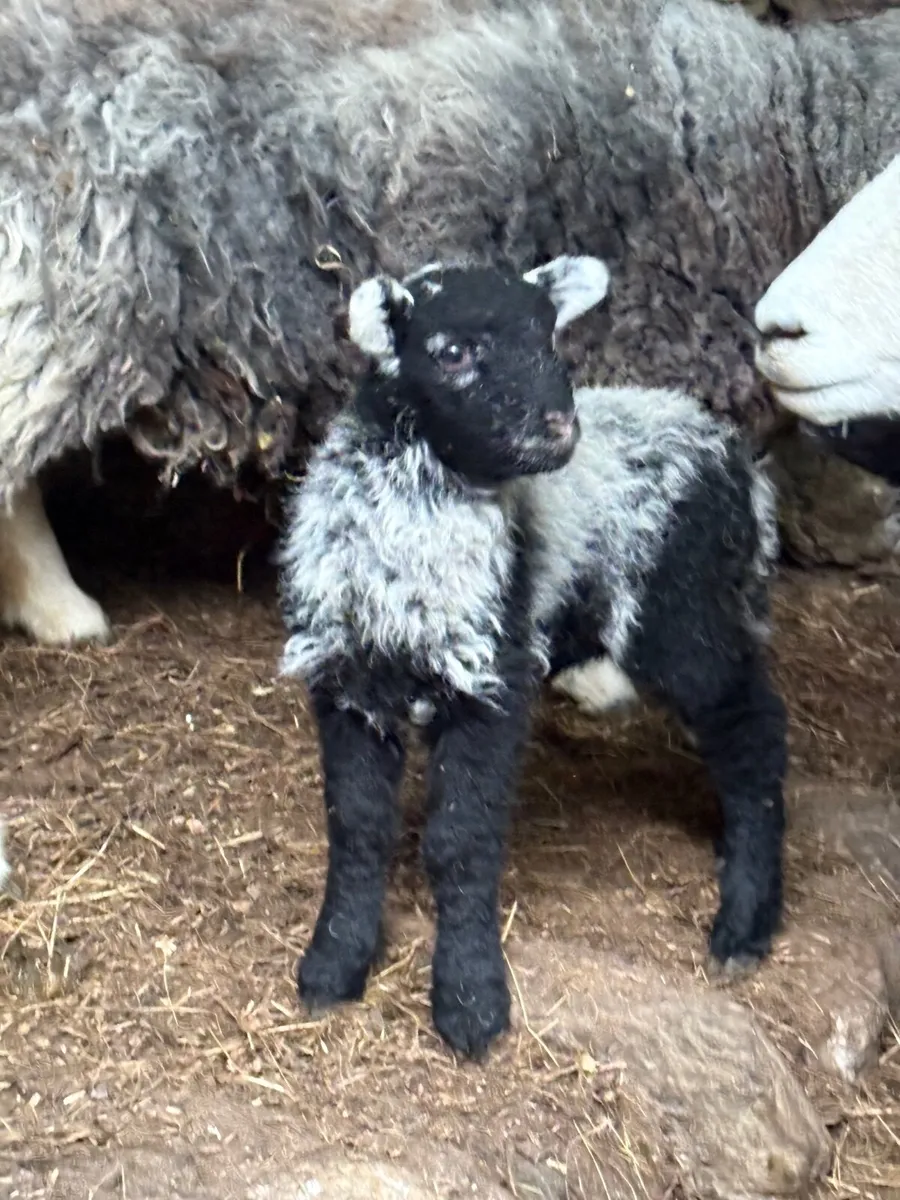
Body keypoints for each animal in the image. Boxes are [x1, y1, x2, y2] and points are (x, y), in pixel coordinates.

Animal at [277, 254, 787, 1059]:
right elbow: (355, 824)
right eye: (452, 351)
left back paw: (743, 924)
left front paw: (470, 1002)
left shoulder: (495, 672)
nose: (558, 427)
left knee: (753, 735)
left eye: (550, 334)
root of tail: (740, 461)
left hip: (686, 613)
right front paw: (332, 965)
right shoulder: (348, 677)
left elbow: (461, 840)